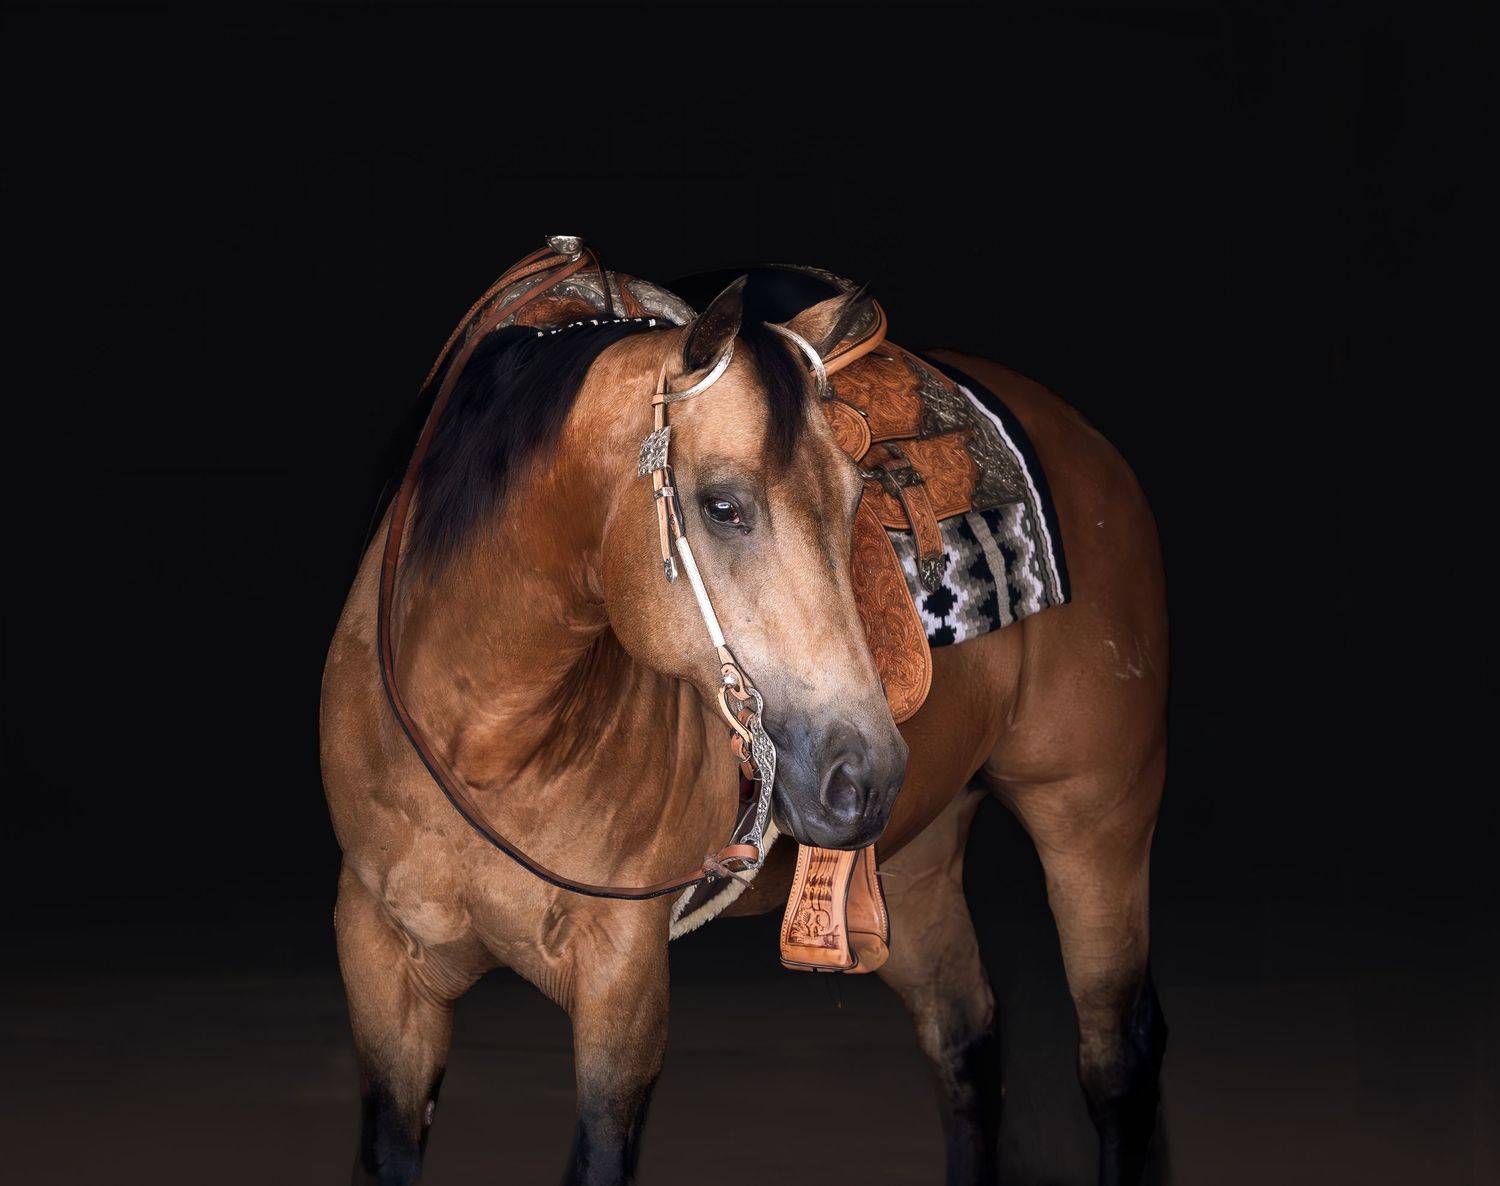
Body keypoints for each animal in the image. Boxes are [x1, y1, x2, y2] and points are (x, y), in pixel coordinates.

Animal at [319, 264, 1169, 1186]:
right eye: (722, 506)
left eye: (856, 497)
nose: (863, 773)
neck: (484, 734)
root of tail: (1087, 444)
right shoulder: (380, 959)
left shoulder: (622, 977)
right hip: (917, 859)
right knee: (967, 1041)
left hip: (1093, 822)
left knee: (1116, 1055)